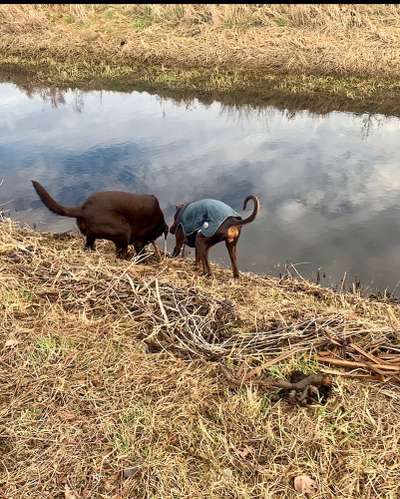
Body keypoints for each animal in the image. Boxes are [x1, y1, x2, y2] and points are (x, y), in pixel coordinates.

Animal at [31, 181, 167, 258]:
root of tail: (84, 209)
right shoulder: (140, 238)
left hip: (91, 236)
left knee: (88, 246)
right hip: (123, 229)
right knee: (120, 253)